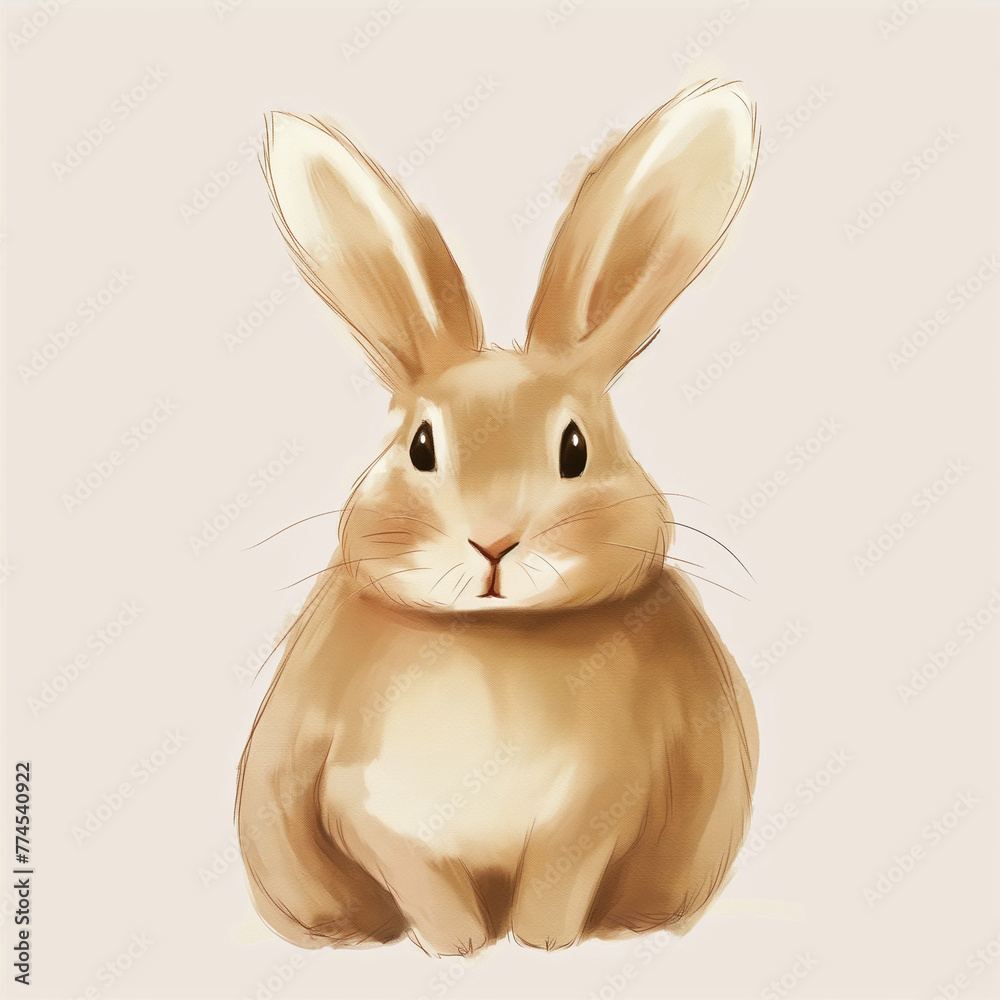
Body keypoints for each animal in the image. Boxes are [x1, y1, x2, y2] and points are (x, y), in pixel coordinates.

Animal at [236, 78, 759, 958]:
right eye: (420, 446)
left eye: (576, 447)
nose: (494, 542)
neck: (492, 641)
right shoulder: (373, 817)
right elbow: (427, 888)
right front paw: (458, 949)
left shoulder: (596, 811)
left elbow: (557, 884)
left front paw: (543, 946)